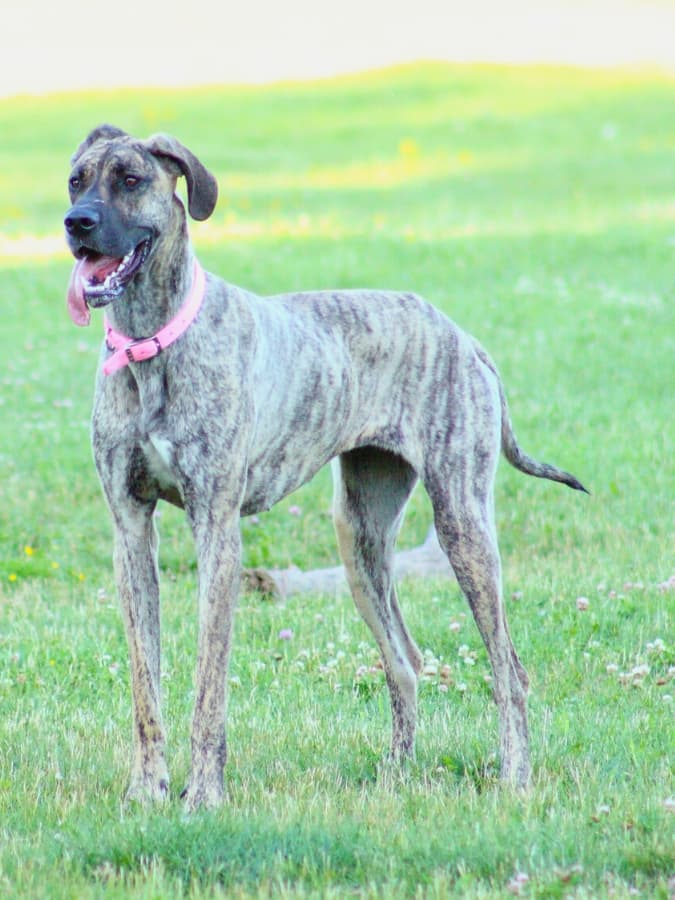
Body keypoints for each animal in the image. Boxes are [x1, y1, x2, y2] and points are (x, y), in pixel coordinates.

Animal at [66, 125, 588, 808]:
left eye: (130, 180)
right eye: (76, 180)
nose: (76, 223)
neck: (152, 343)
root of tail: (465, 338)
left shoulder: (217, 533)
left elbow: (209, 687)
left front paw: (203, 794)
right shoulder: (131, 532)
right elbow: (144, 684)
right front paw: (146, 790)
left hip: (464, 526)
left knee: (509, 669)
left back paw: (514, 779)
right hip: (360, 539)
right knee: (405, 661)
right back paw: (396, 775)